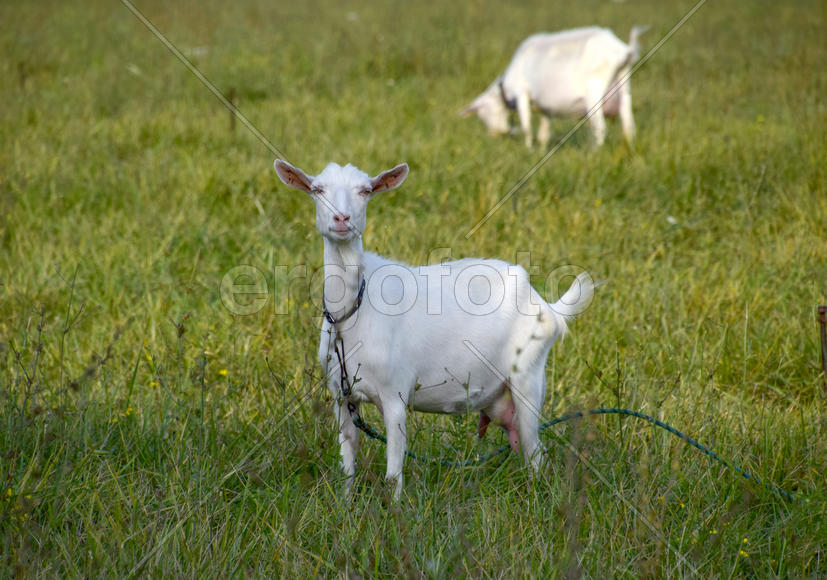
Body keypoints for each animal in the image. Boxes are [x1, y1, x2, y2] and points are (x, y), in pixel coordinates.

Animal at [273, 159, 594, 499]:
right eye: (317, 189)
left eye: (366, 190)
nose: (342, 218)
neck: (352, 313)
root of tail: (548, 307)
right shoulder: (340, 395)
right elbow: (347, 463)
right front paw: (345, 504)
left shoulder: (395, 391)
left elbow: (394, 471)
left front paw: (395, 507)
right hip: (498, 396)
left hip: (528, 373)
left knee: (535, 453)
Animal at [461, 26, 648, 148]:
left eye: (481, 114)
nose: (494, 136)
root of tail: (624, 50)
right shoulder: (545, 108)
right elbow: (543, 133)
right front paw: (541, 151)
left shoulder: (521, 93)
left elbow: (527, 127)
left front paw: (528, 149)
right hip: (623, 88)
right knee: (629, 127)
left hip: (594, 91)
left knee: (600, 129)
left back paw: (595, 153)